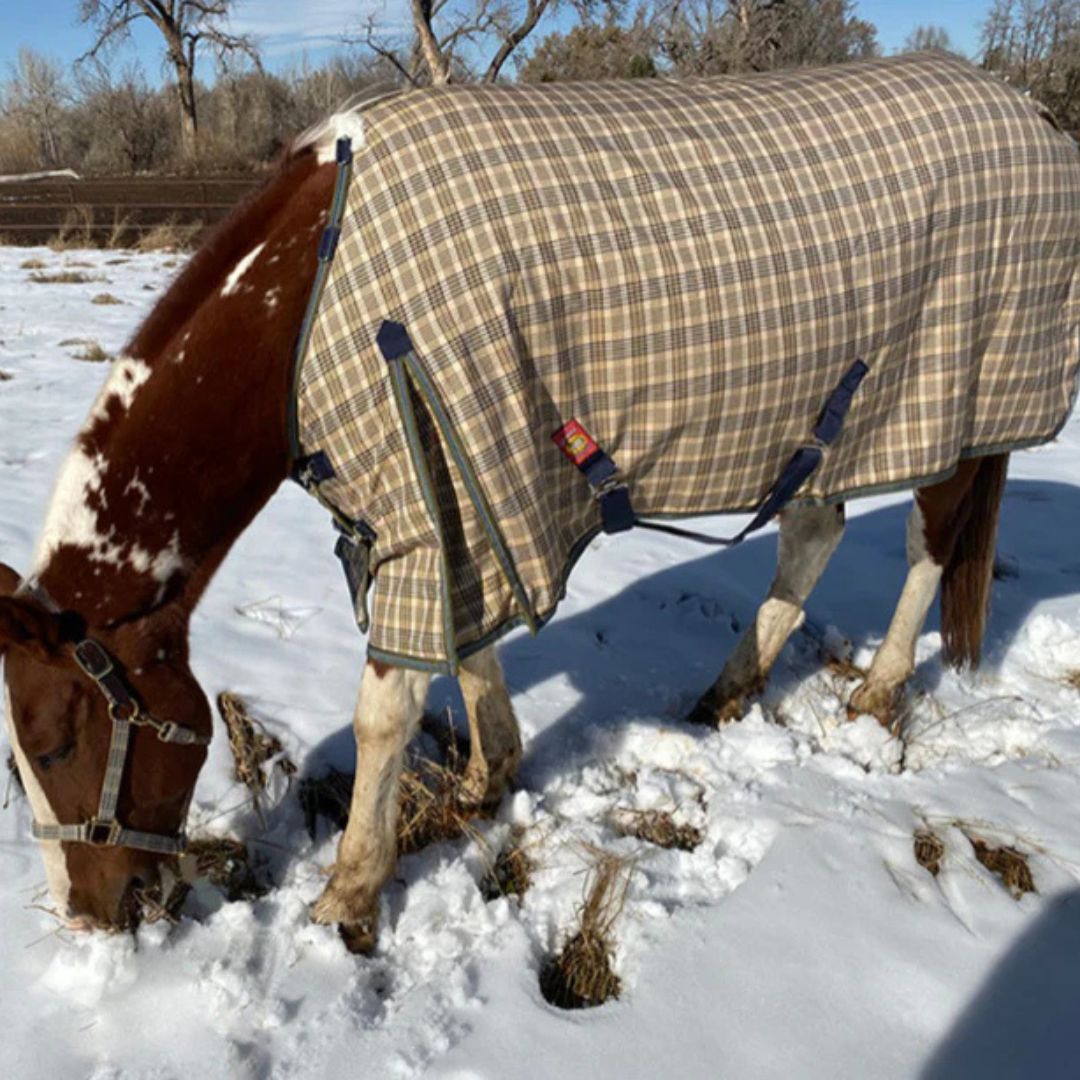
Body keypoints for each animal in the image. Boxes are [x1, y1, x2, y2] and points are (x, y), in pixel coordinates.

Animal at [0, 59, 1075, 950]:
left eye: (55, 742)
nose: (93, 916)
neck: (312, 287)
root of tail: (1030, 111)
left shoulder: (422, 498)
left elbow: (385, 711)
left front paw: (347, 897)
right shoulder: (450, 493)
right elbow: (468, 651)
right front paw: (486, 780)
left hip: (951, 402)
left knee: (931, 540)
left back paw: (878, 694)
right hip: (834, 423)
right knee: (815, 530)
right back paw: (728, 693)